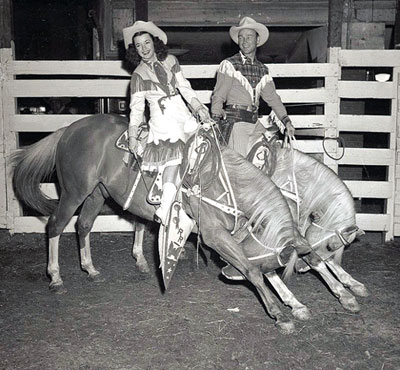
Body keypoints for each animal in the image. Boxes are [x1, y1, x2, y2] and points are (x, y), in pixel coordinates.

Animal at [10, 114, 320, 334]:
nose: (229, 274)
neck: (226, 181)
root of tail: (68, 130)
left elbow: (259, 270)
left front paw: (295, 304)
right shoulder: (215, 235)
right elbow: (253, 271)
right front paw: (280, 315)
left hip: (97, 193)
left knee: (83, 226)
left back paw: (91, 269)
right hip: (74, 192)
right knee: (55, 226)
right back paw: (56, 277)